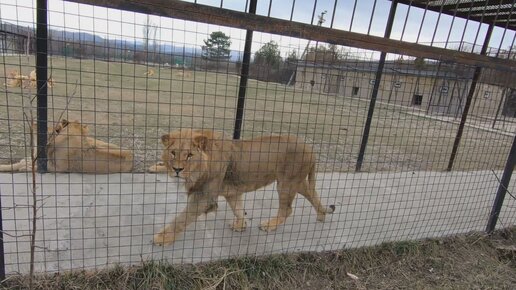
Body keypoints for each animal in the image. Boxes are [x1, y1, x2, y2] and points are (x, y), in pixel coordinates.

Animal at [153, 130, 336, 246]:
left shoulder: (204, 197)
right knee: (312, 193)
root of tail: (310, 149)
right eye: (173, 153)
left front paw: (162, 238)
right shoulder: (232, 193)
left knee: (287, 209)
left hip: (287, 183)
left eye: (190, 155)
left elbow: (181, 219)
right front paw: (241, 225)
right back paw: (321, 214)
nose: (177, 170)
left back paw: (269, 225)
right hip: (297, 182)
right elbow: (238, 209)